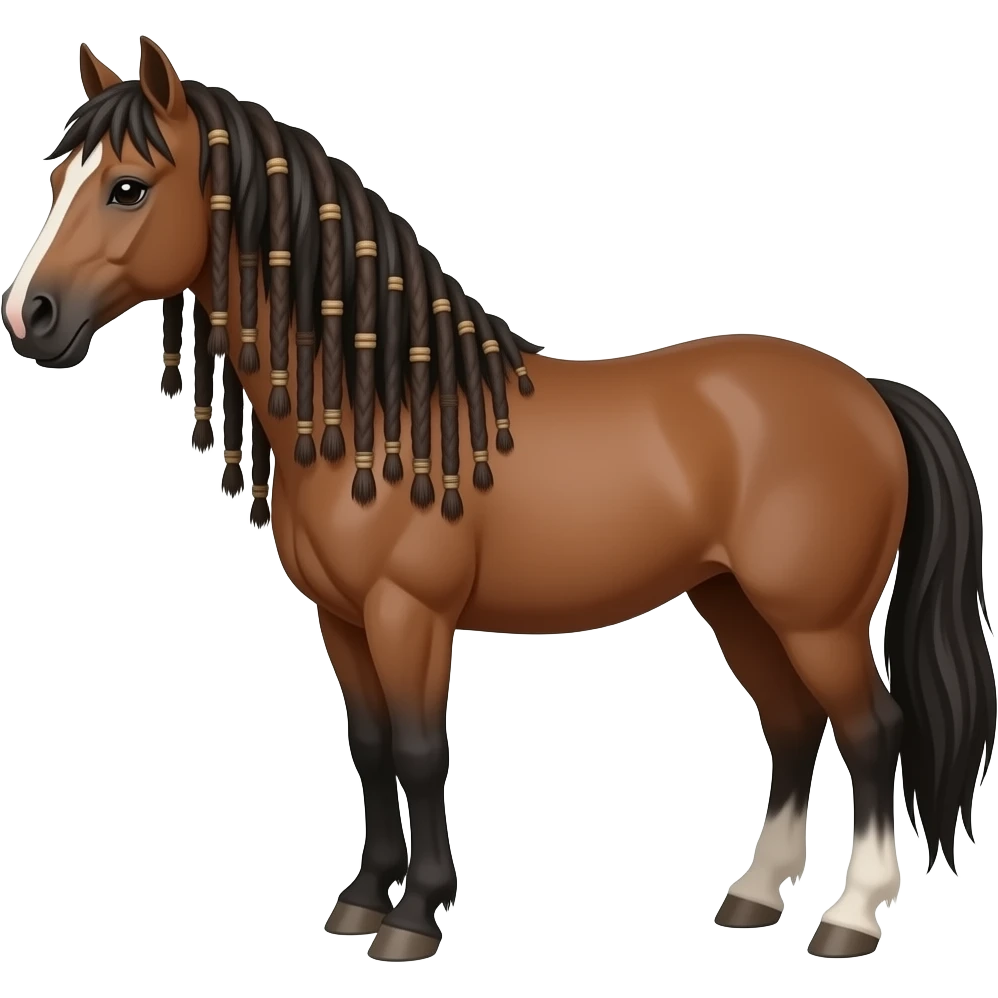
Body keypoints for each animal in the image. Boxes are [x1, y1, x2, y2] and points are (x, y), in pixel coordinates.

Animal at [1, 36, 993, 963]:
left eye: (127, 189)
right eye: (56, 178)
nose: (28, 316)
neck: (381, 409)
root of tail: (867, 393)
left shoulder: (409, 613)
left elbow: (417, 751)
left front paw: (414, 917)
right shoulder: (341, 618)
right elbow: (369, 748)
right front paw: (361, 899)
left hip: (816, 617)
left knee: (873, 733)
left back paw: (851, 919)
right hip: (736, 603)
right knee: (793, 727)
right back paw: (752, 896)